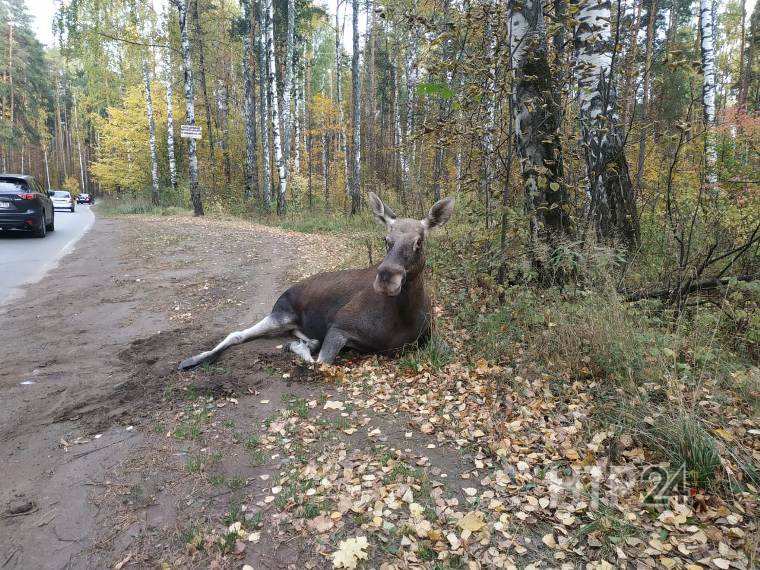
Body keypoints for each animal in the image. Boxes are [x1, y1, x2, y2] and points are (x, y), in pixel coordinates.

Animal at [178, 191, 452, 368]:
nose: (387, 277)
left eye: (419, 242)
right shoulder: (339, 326)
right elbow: (320, 363)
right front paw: (298, 348)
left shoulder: (429, 335)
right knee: (237, 333)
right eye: (386, 240)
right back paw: (191, 360)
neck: (402, 317)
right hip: (281, 313)